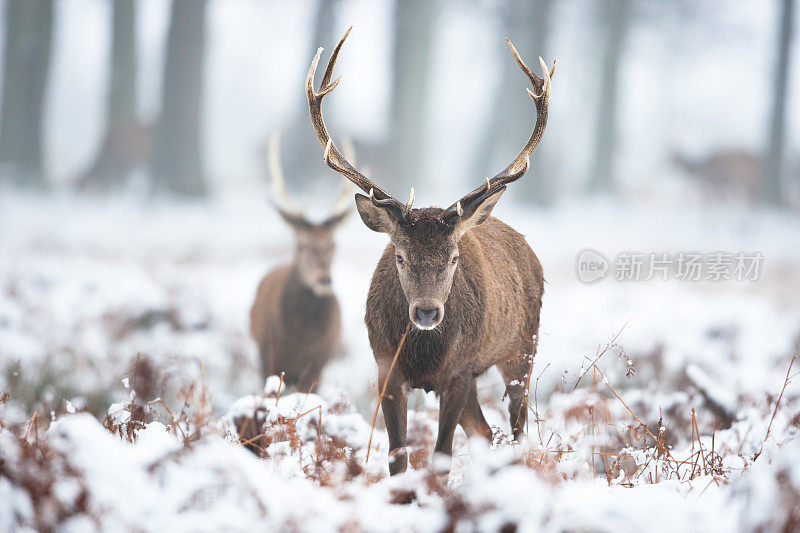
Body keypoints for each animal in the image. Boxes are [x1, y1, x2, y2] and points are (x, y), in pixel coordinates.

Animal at [247, 133, 354, 390]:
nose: (324, 280)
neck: (301, 338)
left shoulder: (318, 364)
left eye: (334, 244)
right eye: (301, 245)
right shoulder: (268, 356)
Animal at [306, 27, 556, 476]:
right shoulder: (385, 368)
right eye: (400, 256)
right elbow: (397, 457)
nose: (426, 313)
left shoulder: (457, 371)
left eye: (454, 257)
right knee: (485, 432)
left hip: (522, 348)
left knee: (517, 428)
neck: (424, 358)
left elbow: (440, 456)